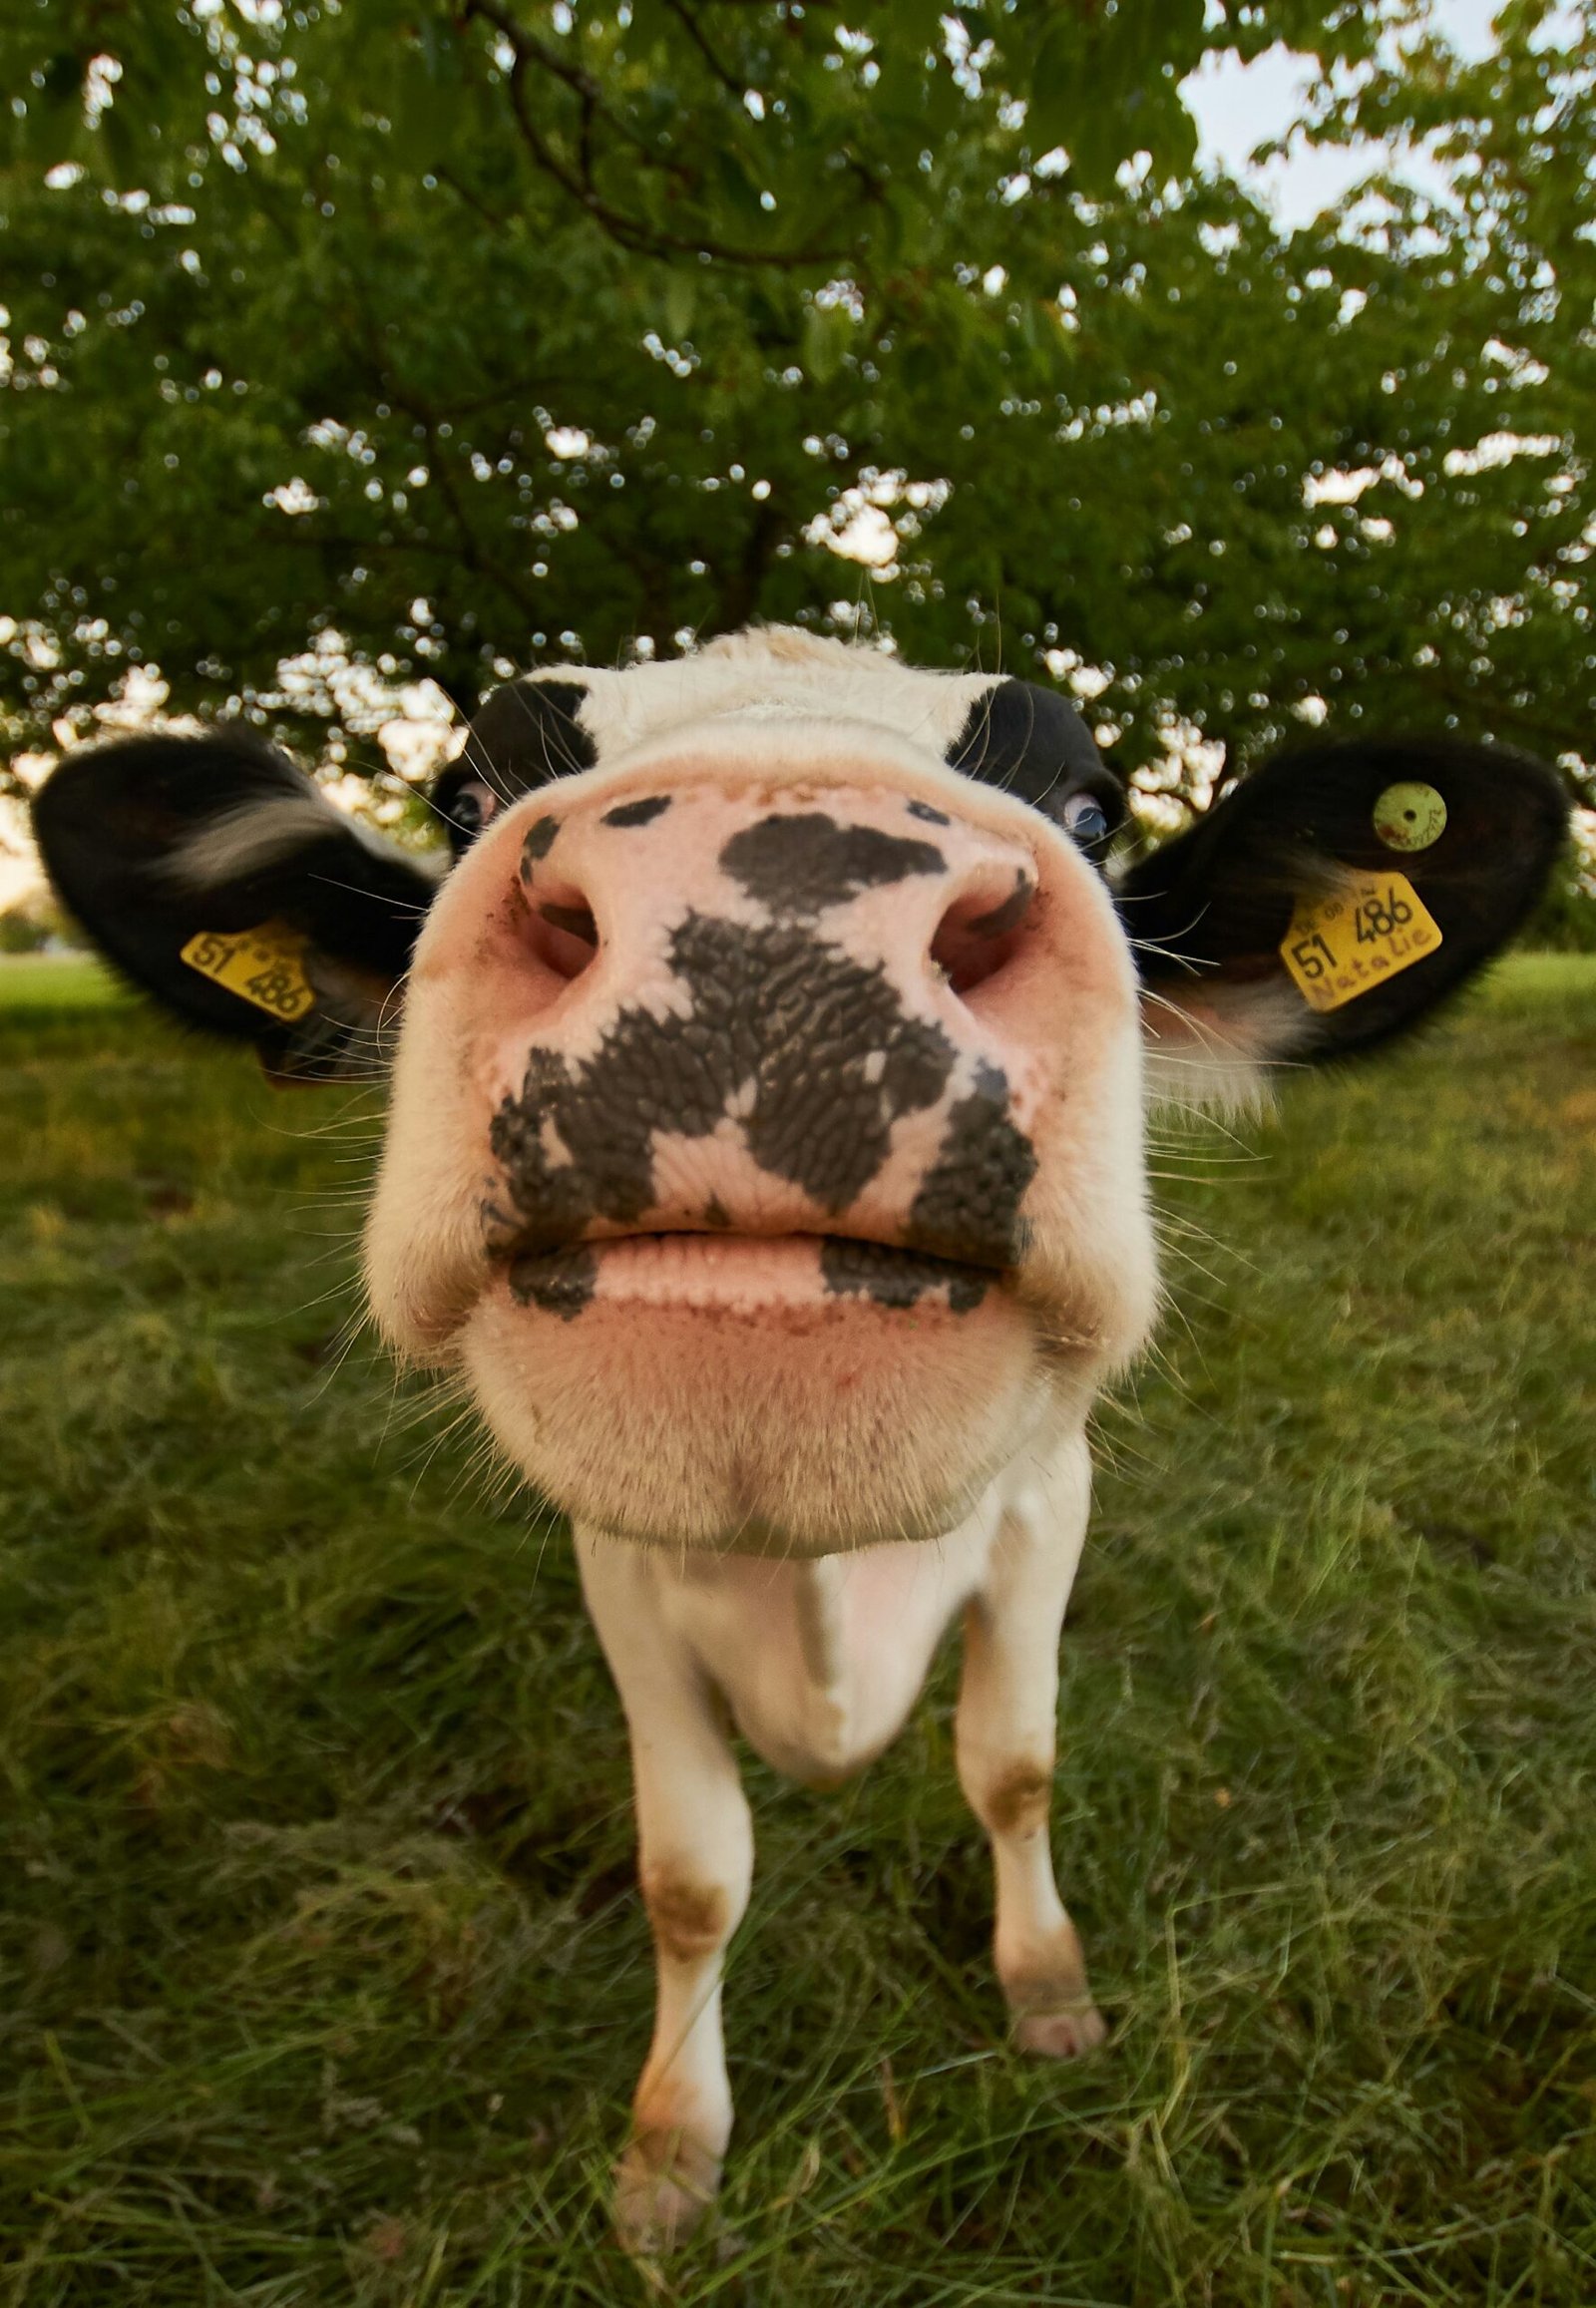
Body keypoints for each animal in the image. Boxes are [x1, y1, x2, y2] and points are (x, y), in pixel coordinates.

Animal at [33, 628, 1568, 2253]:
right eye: (463, 796)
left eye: (1093, 807)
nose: (764, 921)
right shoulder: (623, 1573)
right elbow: (691, 1876)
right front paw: (669, 2148)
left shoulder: (1048, 1508)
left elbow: (1014, 1767)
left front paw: (1047, 1987)